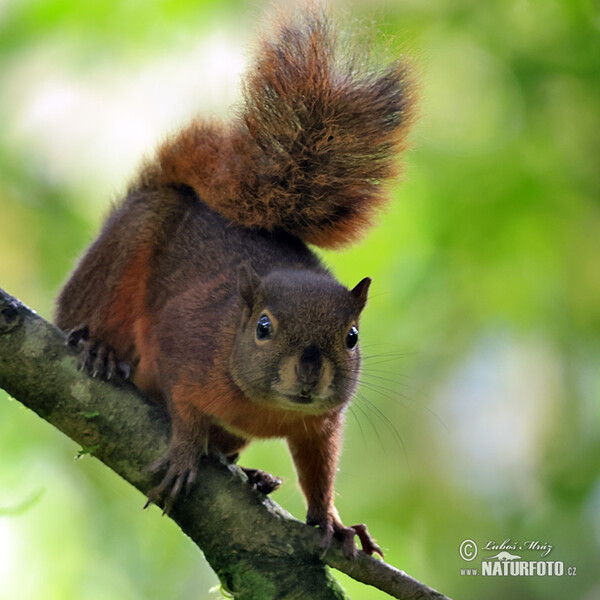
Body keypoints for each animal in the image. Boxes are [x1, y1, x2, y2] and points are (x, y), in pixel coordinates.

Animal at [55, 2, 412, 560]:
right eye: (263, 328)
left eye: (352, 337)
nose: (309, 373)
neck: (266, 407)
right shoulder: (185, 342)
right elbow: (184, 409)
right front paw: (184, 452)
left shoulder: (322, 424)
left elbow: (320, 469)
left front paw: (331, 518)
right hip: (121, 260)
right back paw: (100, 349)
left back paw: (251, 472)